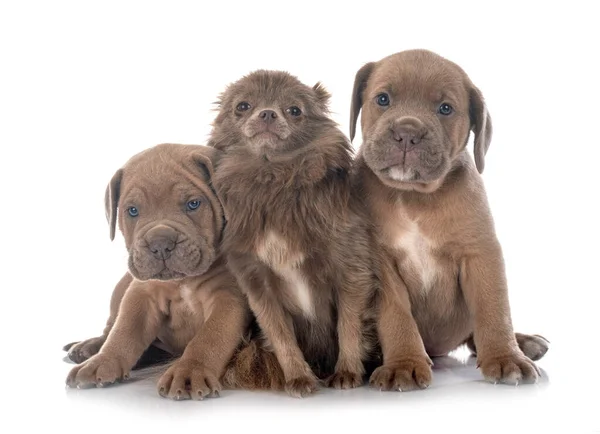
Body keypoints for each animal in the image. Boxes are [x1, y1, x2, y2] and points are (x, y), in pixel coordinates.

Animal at [62, 143, 250, 400]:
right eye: (132, 211)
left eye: (193, 204)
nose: (160, 243)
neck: (181, 282)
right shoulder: (142, 295)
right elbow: (123, 331)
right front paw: (103, 361)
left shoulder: (228, 298)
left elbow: (210, 337)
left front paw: (189, 371)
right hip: (121, 286)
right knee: (109, 328)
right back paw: (89, 348)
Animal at [209, 70, 378, 396]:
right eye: (242, 106)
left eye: (295, 110)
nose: (267, 113)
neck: (273, 180)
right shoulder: (259, 286)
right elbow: (281, 335)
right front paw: (298, 377)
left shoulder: (351, 271)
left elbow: (348, 325)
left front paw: (348, 371)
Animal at [350, 50, 552, 390]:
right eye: (383, 99)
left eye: (445, 108)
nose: (407, 133)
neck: (415, 196)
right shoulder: (381, 264)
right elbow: (396, 316)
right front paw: (403, 364)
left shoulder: (481, 253)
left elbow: (494, 307)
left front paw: (506, 358)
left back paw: (523, 342)